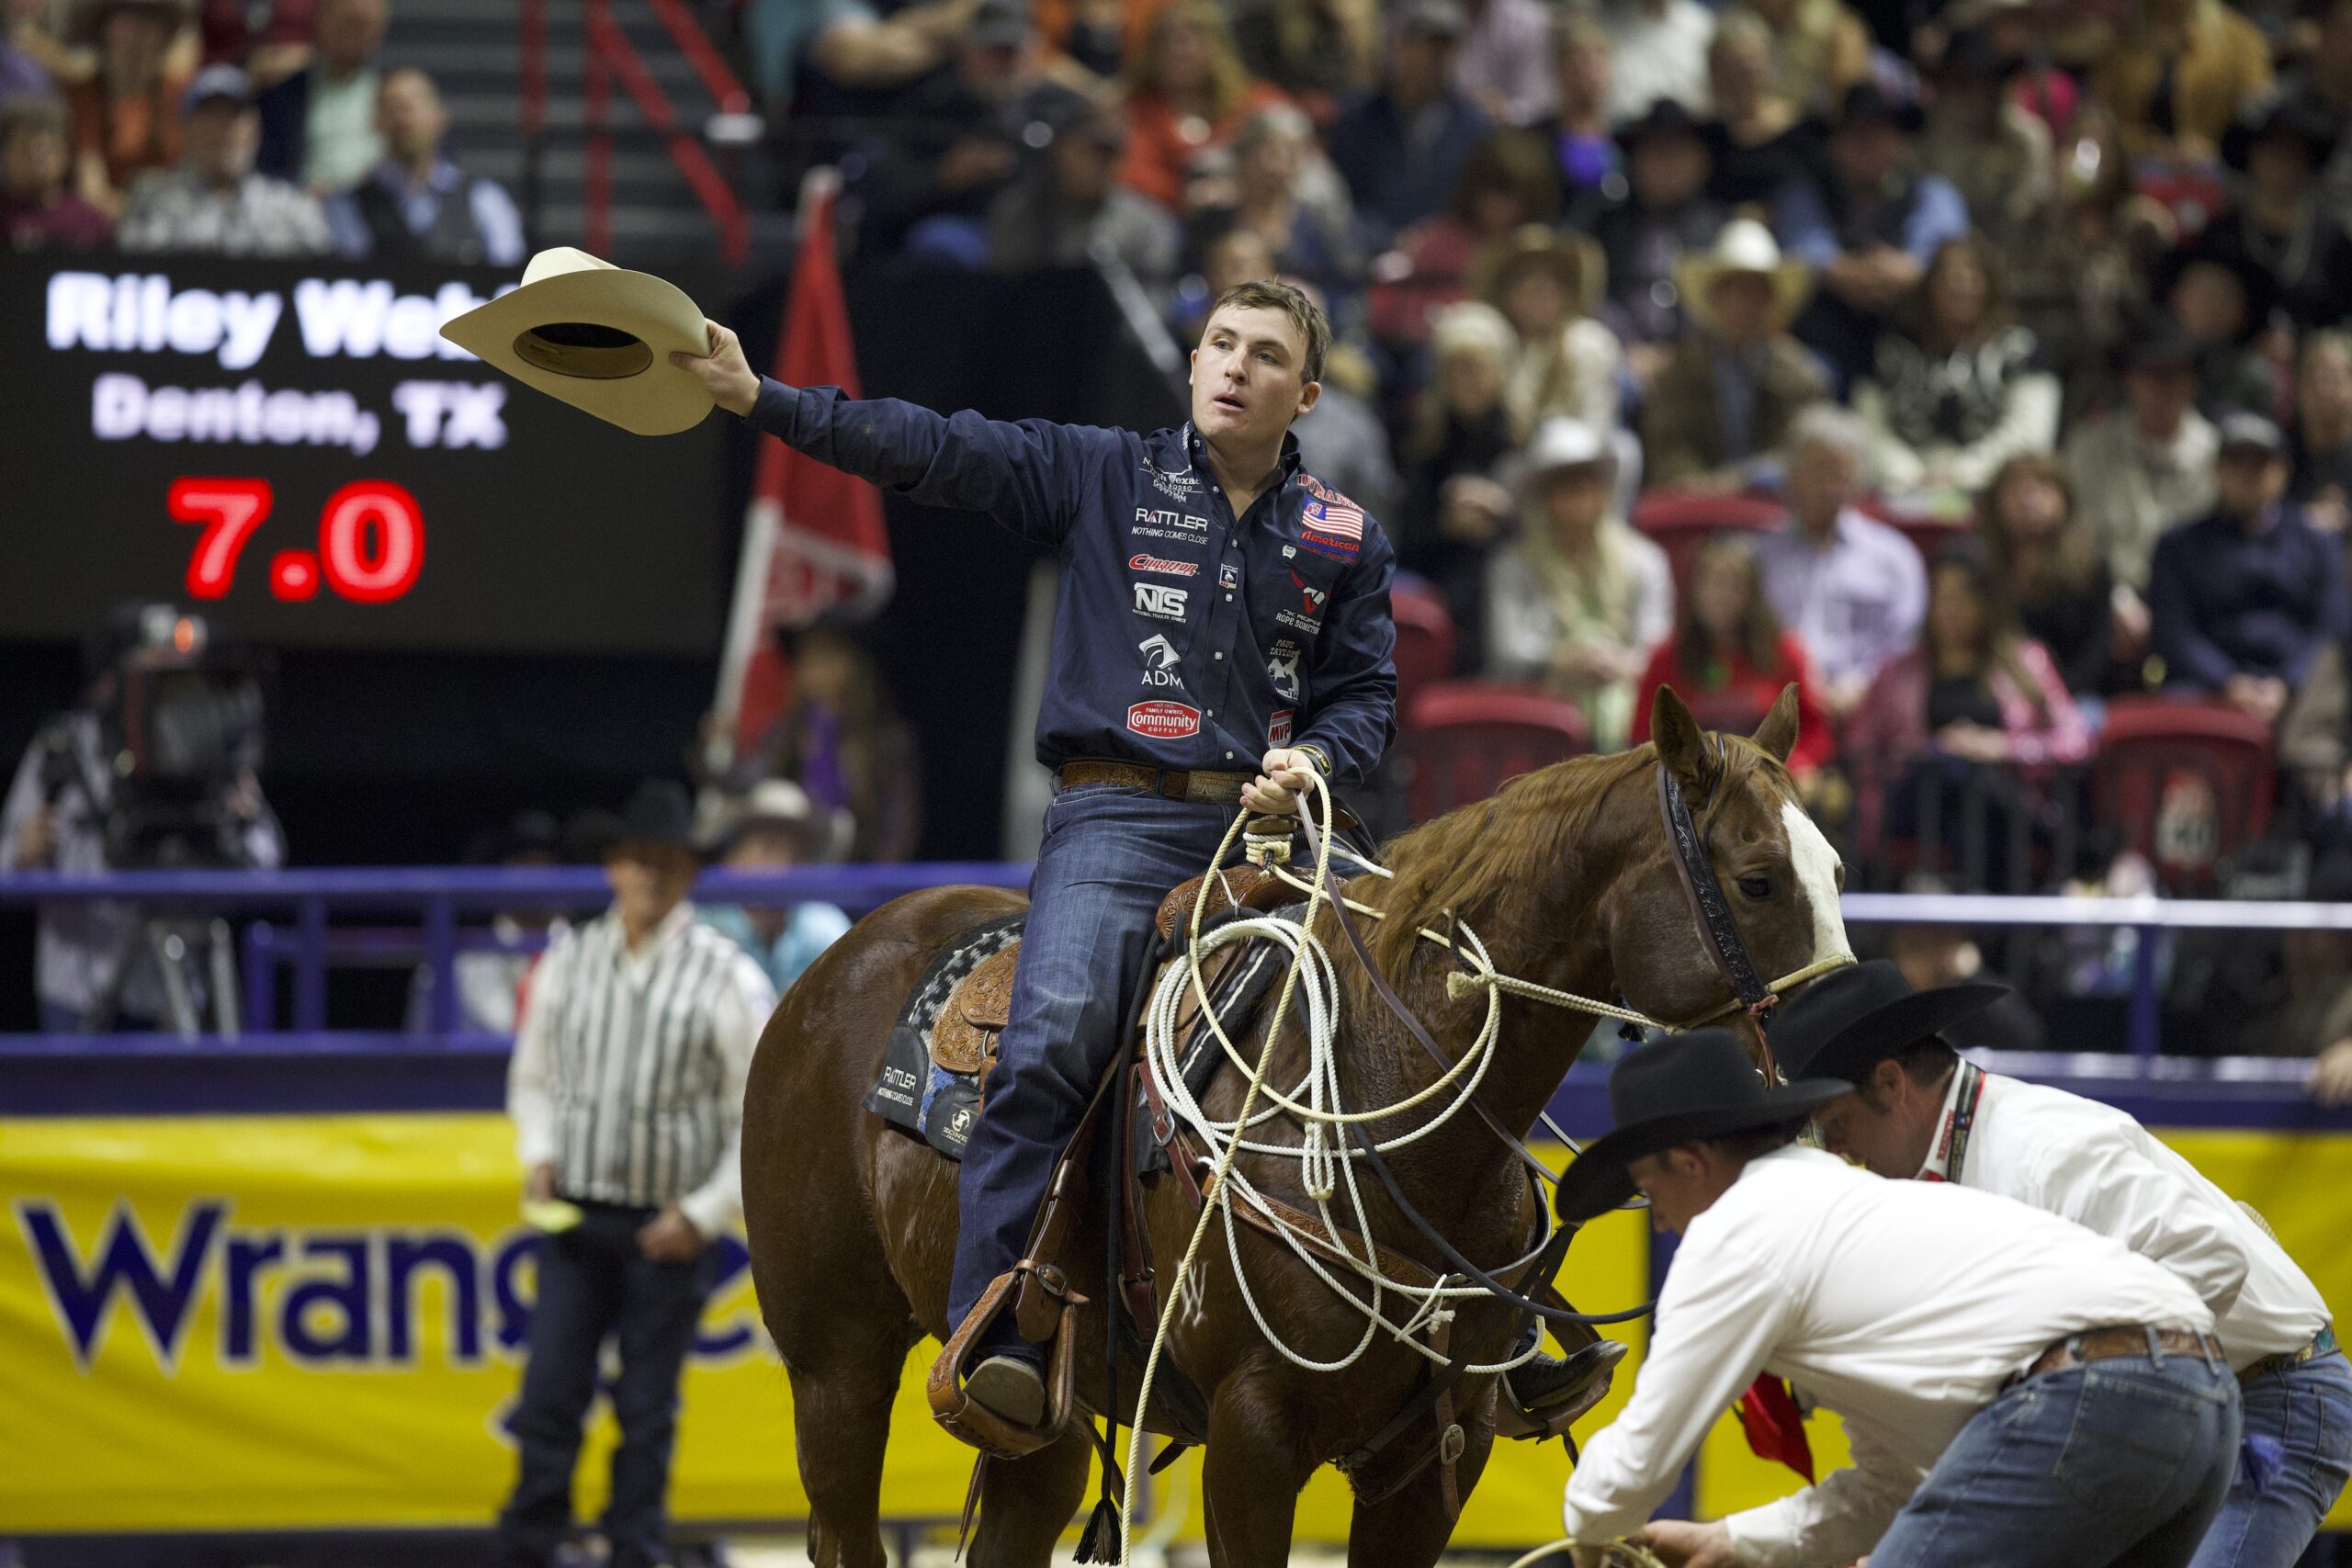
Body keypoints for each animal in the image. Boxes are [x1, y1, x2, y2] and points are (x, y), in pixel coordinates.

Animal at [742, 691, 1844, 1561]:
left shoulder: (1436, 1455)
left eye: (1836, 869)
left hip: (1044, 1414)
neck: (1385, 1099)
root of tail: (846, 954)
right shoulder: (1252, 1438)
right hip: (834, 1365)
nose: (1832, 1065)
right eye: (1756, 878)